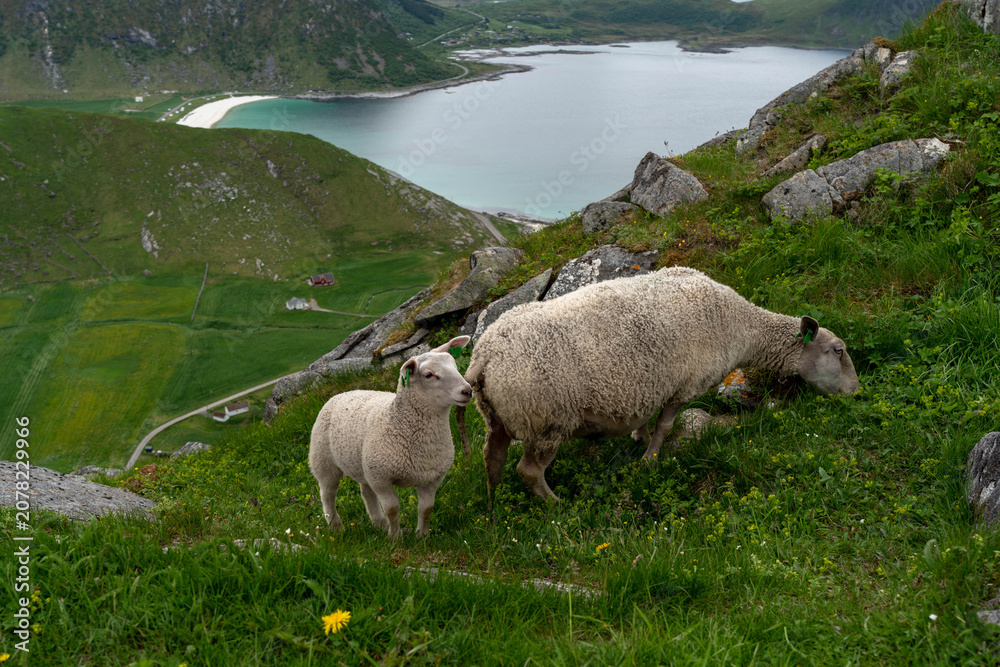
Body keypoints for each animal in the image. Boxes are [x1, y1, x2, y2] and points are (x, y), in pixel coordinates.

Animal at [308, 336, 472, 539]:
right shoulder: (381, 479)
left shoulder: (431, 478)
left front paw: (421, 536)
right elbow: (392, 509)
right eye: (429, 375)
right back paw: (336, 527)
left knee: (366, 492)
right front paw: (395, 538)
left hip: (364, 465)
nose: (467, 391)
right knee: (327, 494)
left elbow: (426, 508)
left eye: (455, 365)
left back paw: (378, 523)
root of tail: (343, 393)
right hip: (323, 461)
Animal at [458, 266, 859, 503]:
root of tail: (483, 358)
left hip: (498, 417)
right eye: (838, 351)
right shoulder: (684, 386)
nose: (856, 392)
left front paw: (639, 437)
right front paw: (649, 460)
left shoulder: (655, 384)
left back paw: (494, 505)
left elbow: (648, 418)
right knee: (528, 470)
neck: (742, 326)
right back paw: (557, 505)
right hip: (545, 419)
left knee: (492, 459)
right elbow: (666, 426)